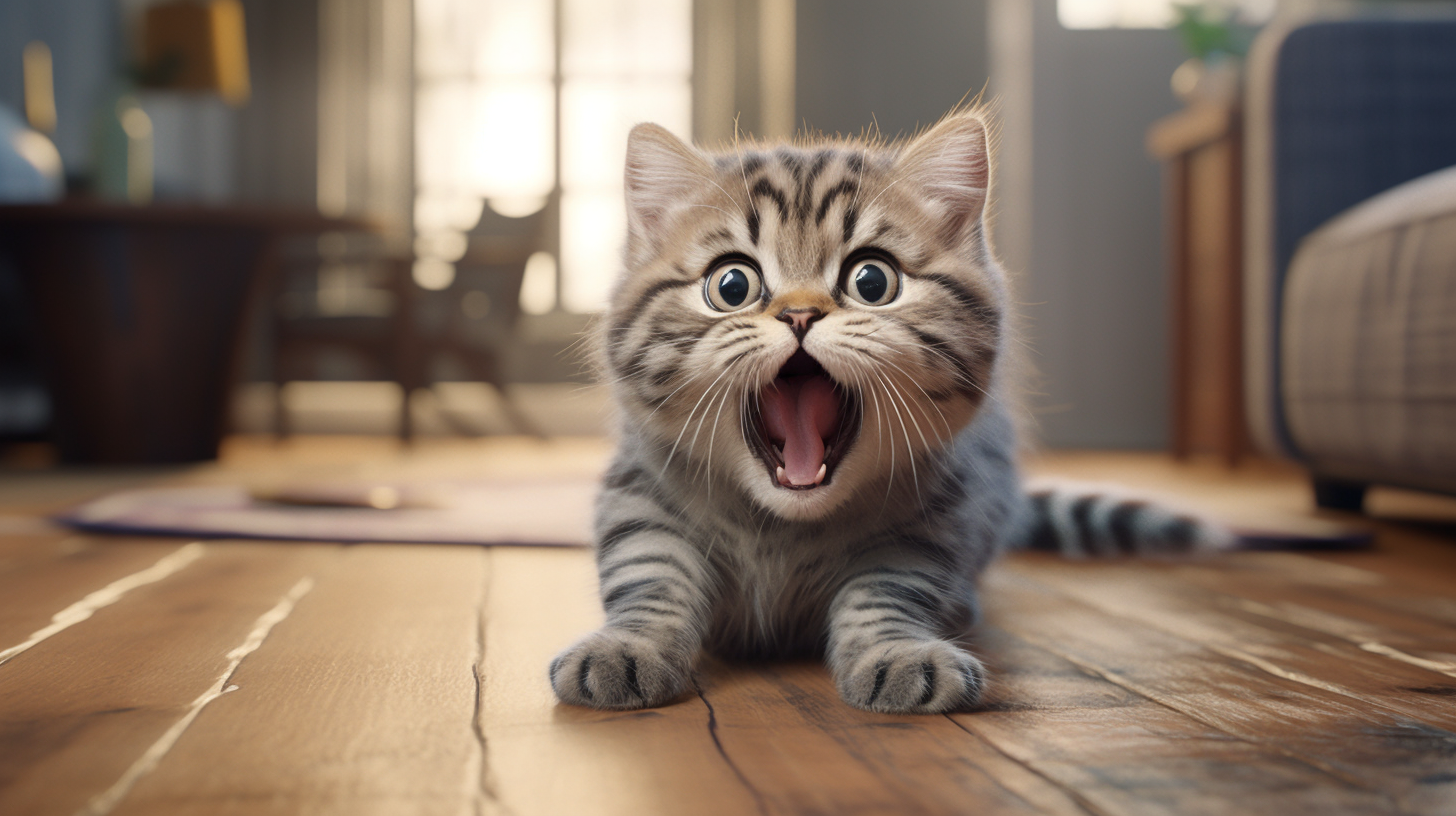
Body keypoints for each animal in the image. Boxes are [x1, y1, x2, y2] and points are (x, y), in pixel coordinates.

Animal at [550, 111, 1223, 711]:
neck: (783, 528)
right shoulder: (639, 495)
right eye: (732, 286)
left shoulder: (934, 523)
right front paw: (626, 646)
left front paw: (898, 655)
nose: (799, 314)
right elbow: (649, 573)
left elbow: (885, 595)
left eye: (872, 281)